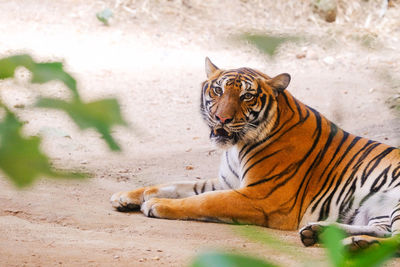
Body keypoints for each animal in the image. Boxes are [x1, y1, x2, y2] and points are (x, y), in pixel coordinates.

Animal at [111, 58, 400, 251]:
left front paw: (157, 205)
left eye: (247, 96)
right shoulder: (228, 182)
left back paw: (357, 245)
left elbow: (204, 201)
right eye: (218, 90)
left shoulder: (261, 196)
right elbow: (176, 185)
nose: (222, 118)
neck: (236, 147)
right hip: (377, 211)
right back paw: (320, 233)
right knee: (383, 231)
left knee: (394, 239)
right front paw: (126, 196)